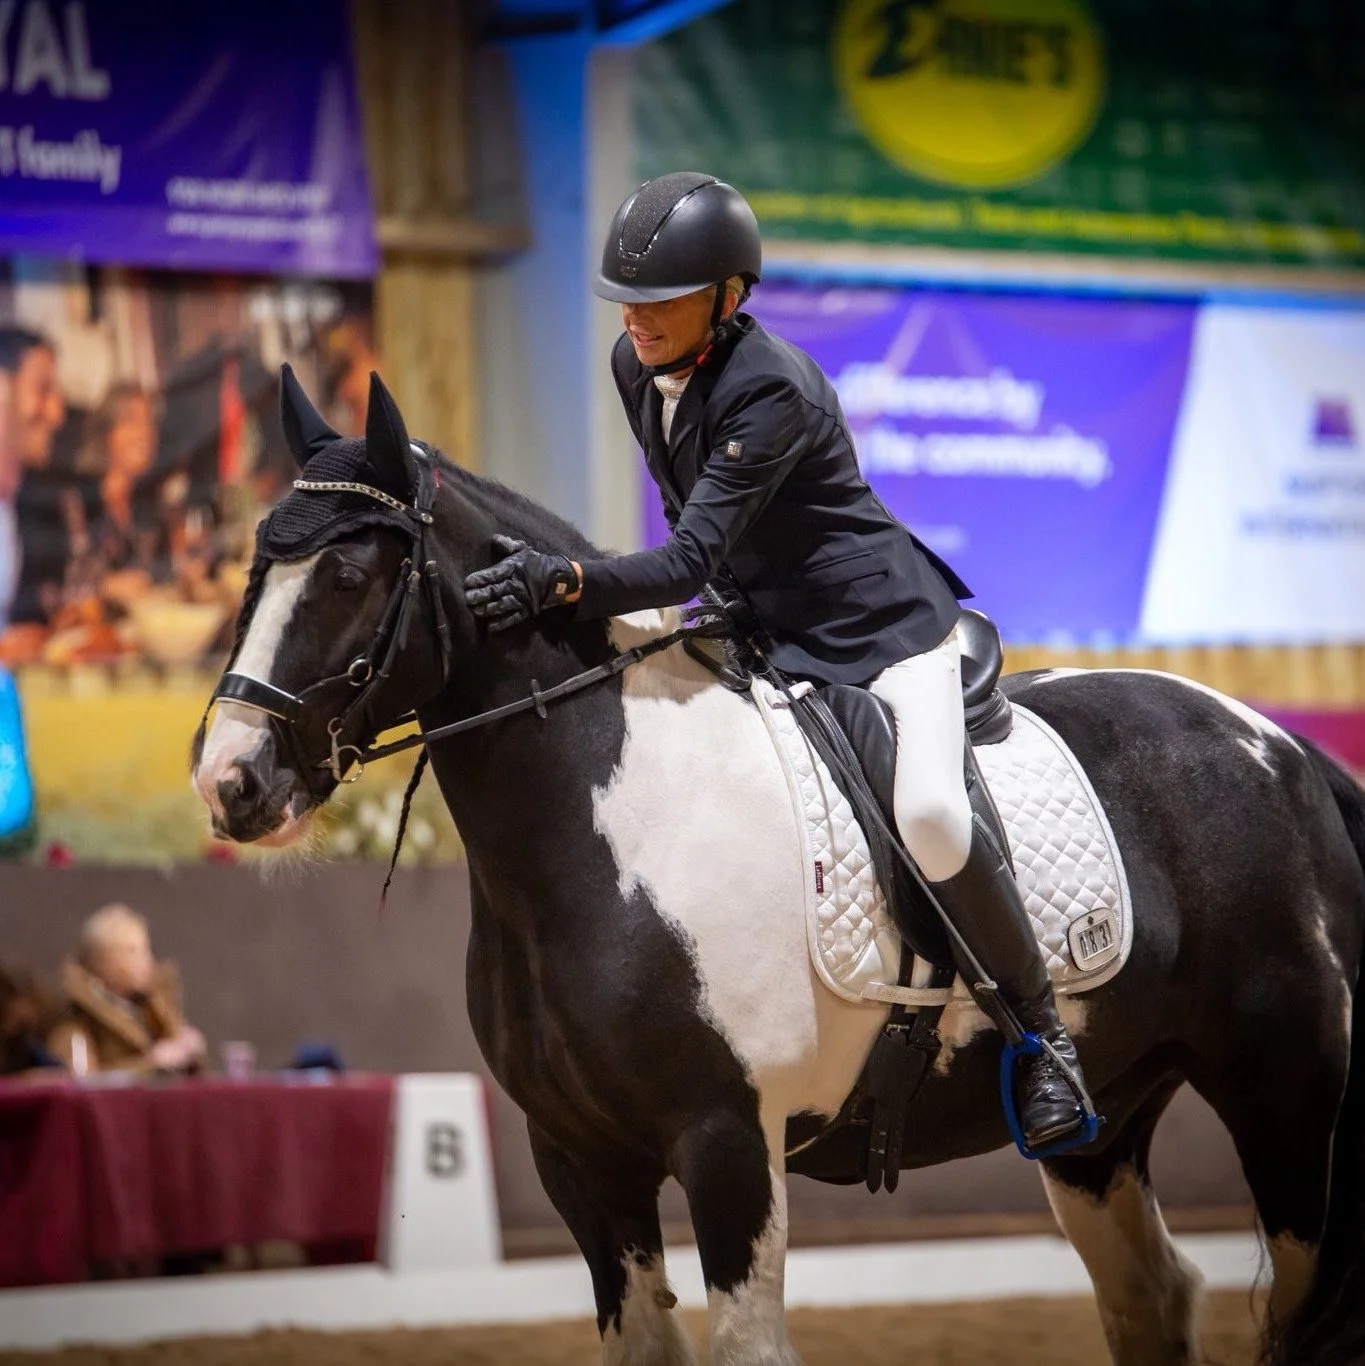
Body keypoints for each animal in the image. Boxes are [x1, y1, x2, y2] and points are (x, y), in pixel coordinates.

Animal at [192, 371, 1365, 1366]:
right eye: (255, 565)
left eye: (350, 573)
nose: (230, 780)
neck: (608, 833)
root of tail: (1287, 748)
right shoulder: (580, 1160)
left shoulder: (727, 1146)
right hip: (1103, 1124)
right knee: (1152, 1297)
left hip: (1288, 1089)